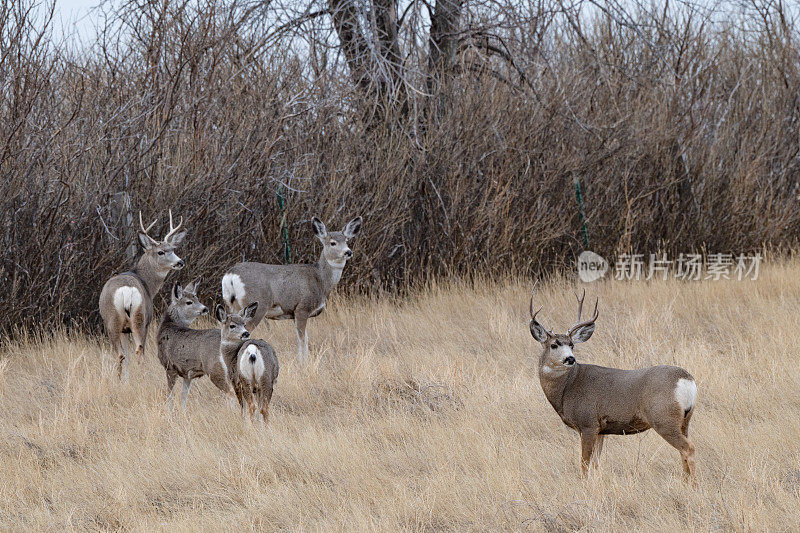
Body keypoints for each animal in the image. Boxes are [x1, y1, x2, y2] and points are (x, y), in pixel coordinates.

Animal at [99, 210, 187, 380]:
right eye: (161, 252)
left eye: (173, 249)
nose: (180, 262)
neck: (147, 283)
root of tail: (126, 291)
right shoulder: (138, 324)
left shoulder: (125, 329)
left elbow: (127, 354)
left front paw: (127, 380)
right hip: (137, 318)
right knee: (136, 351)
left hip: (117, 321)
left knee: (125, 354)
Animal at [223, 214, 364, 360]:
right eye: (333, 243)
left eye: (347, 241)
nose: (348, 252)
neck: (320, 280)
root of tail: (231, 275)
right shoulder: (302, 308)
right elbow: (302, 339)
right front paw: (303, 362)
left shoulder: (296, 314)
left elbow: (305, 338)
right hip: (256, 305)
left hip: (232, 305)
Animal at [528, 286, 696, 482]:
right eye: (554, 345)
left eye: (571, 345)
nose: (570, 358)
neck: (567, 388)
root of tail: (687, 380)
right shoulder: (602, 430)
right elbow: (596, 464)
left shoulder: (588, 423)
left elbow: (584, 464)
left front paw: (584, 484)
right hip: (685, 420)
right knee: (684, 450)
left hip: (663, 418)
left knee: (688, 448)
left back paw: (693, 485)